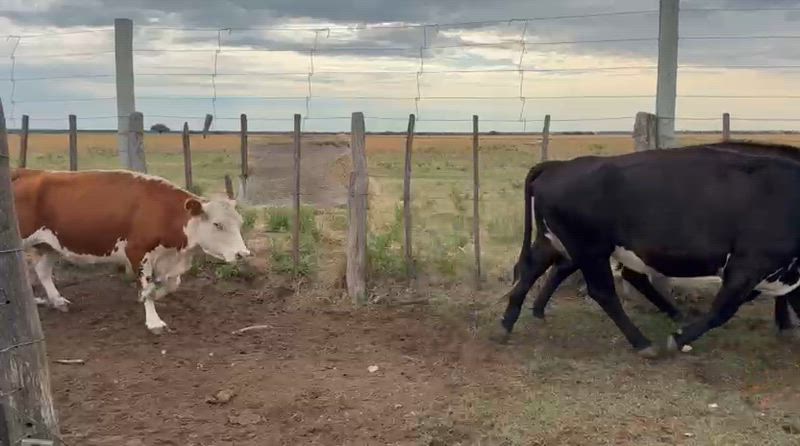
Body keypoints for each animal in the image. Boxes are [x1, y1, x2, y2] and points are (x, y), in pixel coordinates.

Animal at [11, 168, 251, 334]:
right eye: (218, 224)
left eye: (240, 222)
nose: (243, 254)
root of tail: (27, 171)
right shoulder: (137, 252)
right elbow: (147, 287)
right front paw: (153, 320)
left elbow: (171, 284)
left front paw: (155, 295)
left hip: (51, 245)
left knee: (42, 270)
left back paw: (57, 300)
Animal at [500, 142, 800, 358]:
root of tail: (560, 166)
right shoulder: (748, 264)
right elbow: (722, 310)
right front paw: (678, 339)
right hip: (590, 248)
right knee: (603, 292)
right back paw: (643, 343)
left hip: (555, 240)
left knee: (531, 270)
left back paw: (507, 324)